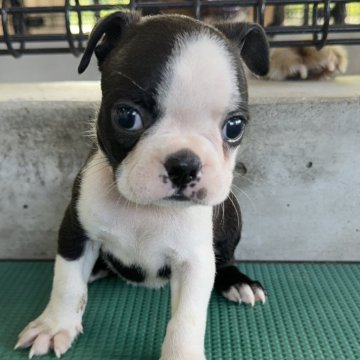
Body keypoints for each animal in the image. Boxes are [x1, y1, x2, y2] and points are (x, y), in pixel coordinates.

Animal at [15, 11, 268, 360]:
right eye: (127, 117)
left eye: (234, 127)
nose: (184, 164)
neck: (145, 209)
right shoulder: (75, 230)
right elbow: (66, 284)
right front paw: (55, 326)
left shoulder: (194, 261)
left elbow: (186, 318)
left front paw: (182, 354)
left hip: (231, 217)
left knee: (227, 257)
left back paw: (237, 281)